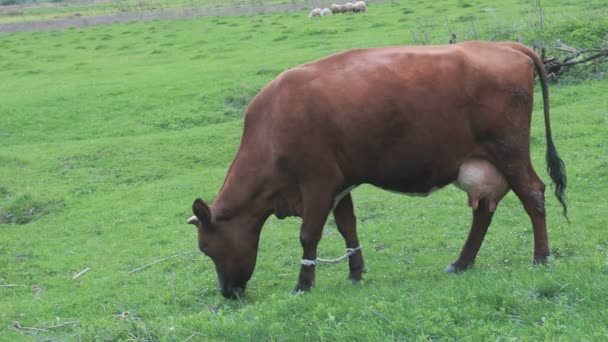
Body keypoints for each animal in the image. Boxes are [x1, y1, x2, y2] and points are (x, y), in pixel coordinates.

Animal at [188, 40, 568, 300]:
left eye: (206, 249)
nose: (227, 293)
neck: (270, 128)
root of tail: (503, 44)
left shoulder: (317, 182)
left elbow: (309, 235)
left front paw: (303, 285)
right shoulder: (339, 184)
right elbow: (347, 227)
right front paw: (355, 273)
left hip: (509, 151)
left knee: (533, 193)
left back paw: (540, 257)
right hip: (482, 164)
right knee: (484, 210)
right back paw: (461, 263)